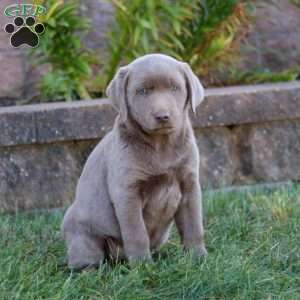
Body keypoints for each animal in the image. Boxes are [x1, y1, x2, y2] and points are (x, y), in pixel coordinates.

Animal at [61, 53, 206, 270]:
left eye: (174, 88)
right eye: (142, 91)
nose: (163, 116)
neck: (161, 145)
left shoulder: (189, 185)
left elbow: (193, 225)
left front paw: (198, 257)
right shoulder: (127, 193)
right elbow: (137, 232)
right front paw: (142, 266)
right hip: (83, 235)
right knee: (86, 258)